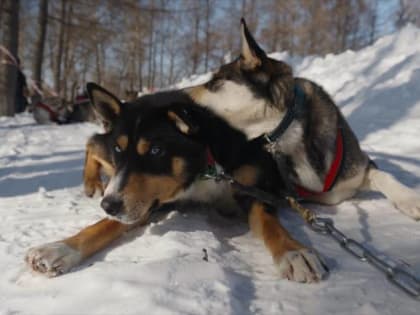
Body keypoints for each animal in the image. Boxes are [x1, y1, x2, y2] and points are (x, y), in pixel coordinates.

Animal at [24, 82, 330, 282]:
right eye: (121, 149)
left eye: (156, 151)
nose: (108, 204)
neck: (204, 169)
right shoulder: (144, 198)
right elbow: (104, 225)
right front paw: (60, 249)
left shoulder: (255, 189)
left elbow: (269, 222)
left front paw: (294, 253)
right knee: (93, 143)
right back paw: (92, 183)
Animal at [185, 19, 420, 221]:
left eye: (214, 83)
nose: (180, 92)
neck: (291, 135)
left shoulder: (361, 168)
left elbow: (384, 176)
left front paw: (409, 199)